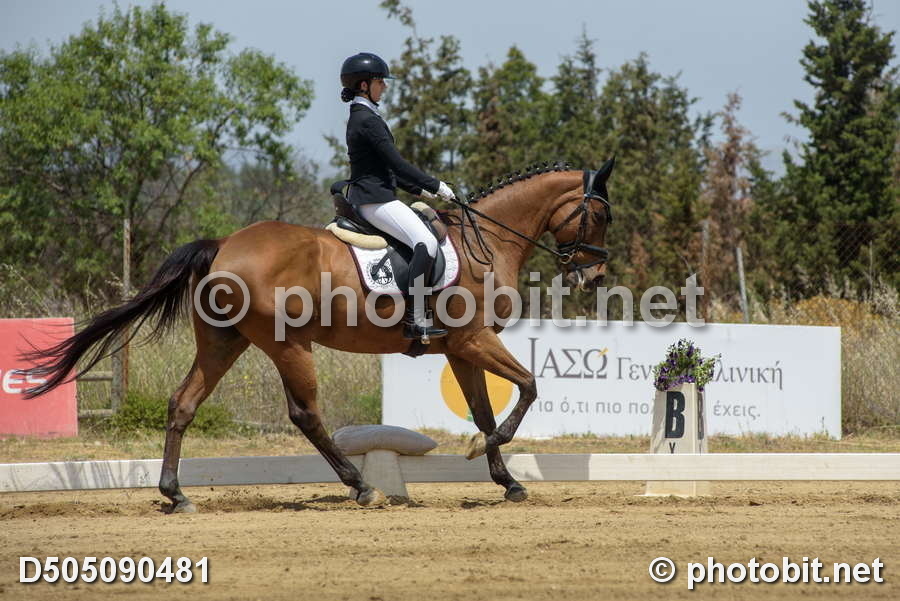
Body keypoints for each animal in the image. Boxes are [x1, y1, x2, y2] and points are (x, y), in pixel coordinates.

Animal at [22, 158, 615, 512]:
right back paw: (362, 487)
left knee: (183, 403)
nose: (594, 276)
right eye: (602, 216)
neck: (487, 242)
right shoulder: (472, 341)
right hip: (288, 344)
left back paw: (176, 494)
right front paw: (484, 454)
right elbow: (529, 387)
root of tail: (224, 245)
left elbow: (486, 410)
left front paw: (506, 479)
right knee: (305, 414)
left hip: (224, 342)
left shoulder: (461, 348)